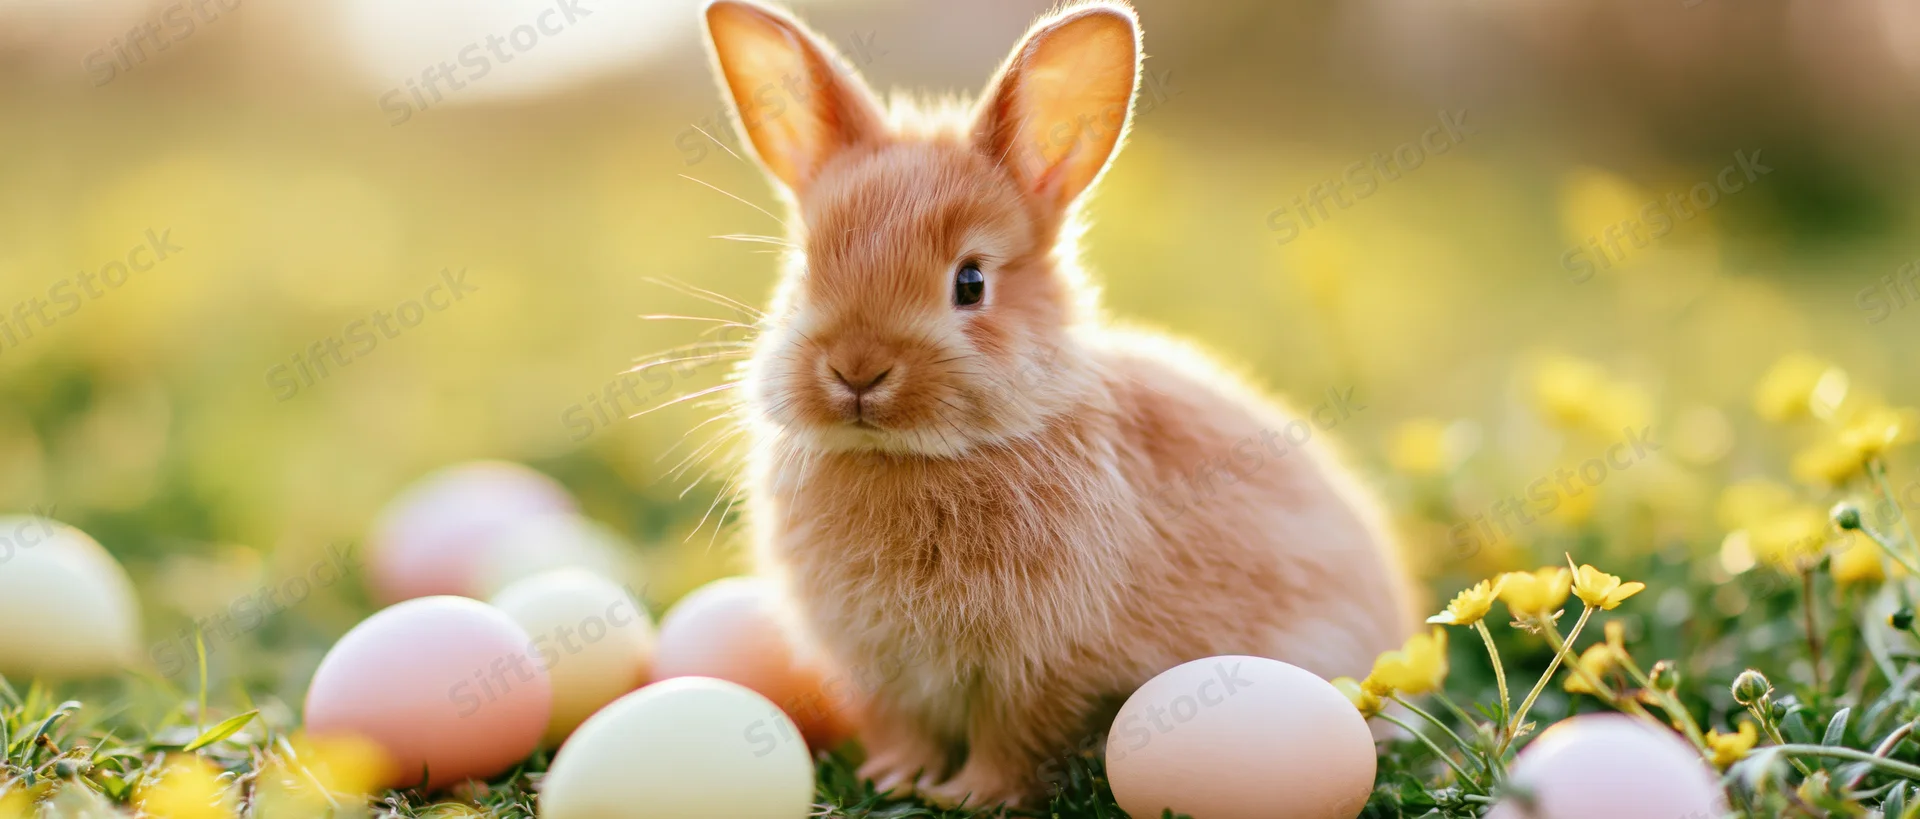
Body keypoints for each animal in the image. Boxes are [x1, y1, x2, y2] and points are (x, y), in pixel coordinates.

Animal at [698, 0, 1418, 807]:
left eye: (971, 282)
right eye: (803, 268)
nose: (855, 368)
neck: (914, 456)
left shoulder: (1040, 666)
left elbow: (1011, 739)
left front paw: (967, 796)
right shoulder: (880, 674)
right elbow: (904, 729)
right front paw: (895, 778)